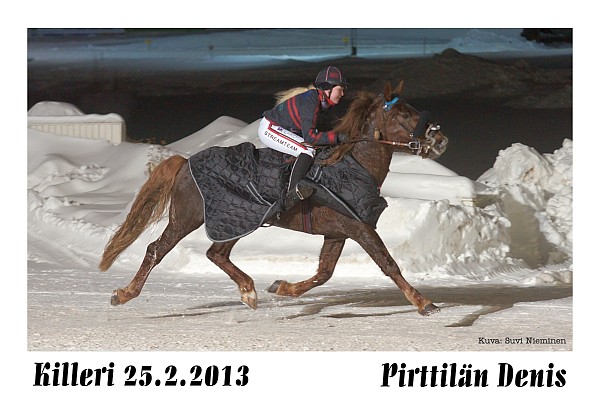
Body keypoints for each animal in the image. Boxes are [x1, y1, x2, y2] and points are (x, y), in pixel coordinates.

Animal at [99, 81, 448, 316]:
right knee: (157, 249)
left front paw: (282, 287)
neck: (353, 164)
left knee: (216, 253)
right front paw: (424, 302)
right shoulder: (359, 227)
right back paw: (124, 293)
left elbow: (324, 273)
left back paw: (249, 291)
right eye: (403, 114)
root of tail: (185, 163)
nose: (441, 139)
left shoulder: (338, 231)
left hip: (237, 217)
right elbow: (388, 264)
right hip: (191, 217)